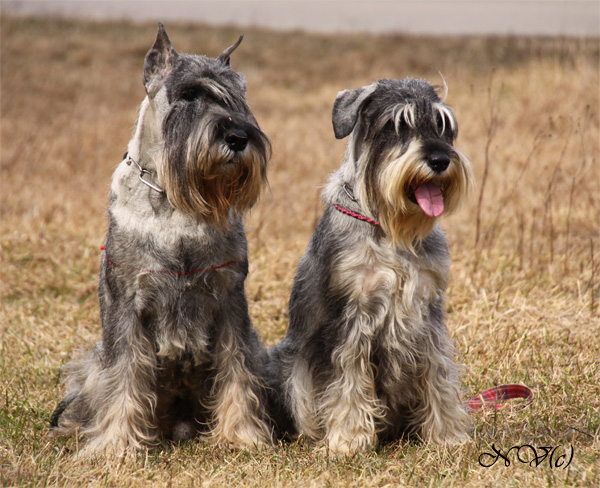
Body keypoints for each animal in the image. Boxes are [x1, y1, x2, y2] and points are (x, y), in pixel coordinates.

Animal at [51, 24, 272, 454]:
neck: (175, 202)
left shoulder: (229, 302)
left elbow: (236, 368)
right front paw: (115, 444)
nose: (239, 136)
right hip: (94, 365)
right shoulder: (128, 306)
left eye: (240, 96)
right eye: (188, 95)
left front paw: (239, 436)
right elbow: (124, 377)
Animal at [270, 78, 476, 456]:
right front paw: (347, 441)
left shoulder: (429, 315)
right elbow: (347, 379)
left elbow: (439, 372)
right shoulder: (351, 316)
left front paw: (448, 436)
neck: (390, 228)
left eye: (442, 125)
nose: (440, 159)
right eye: (396, 125)